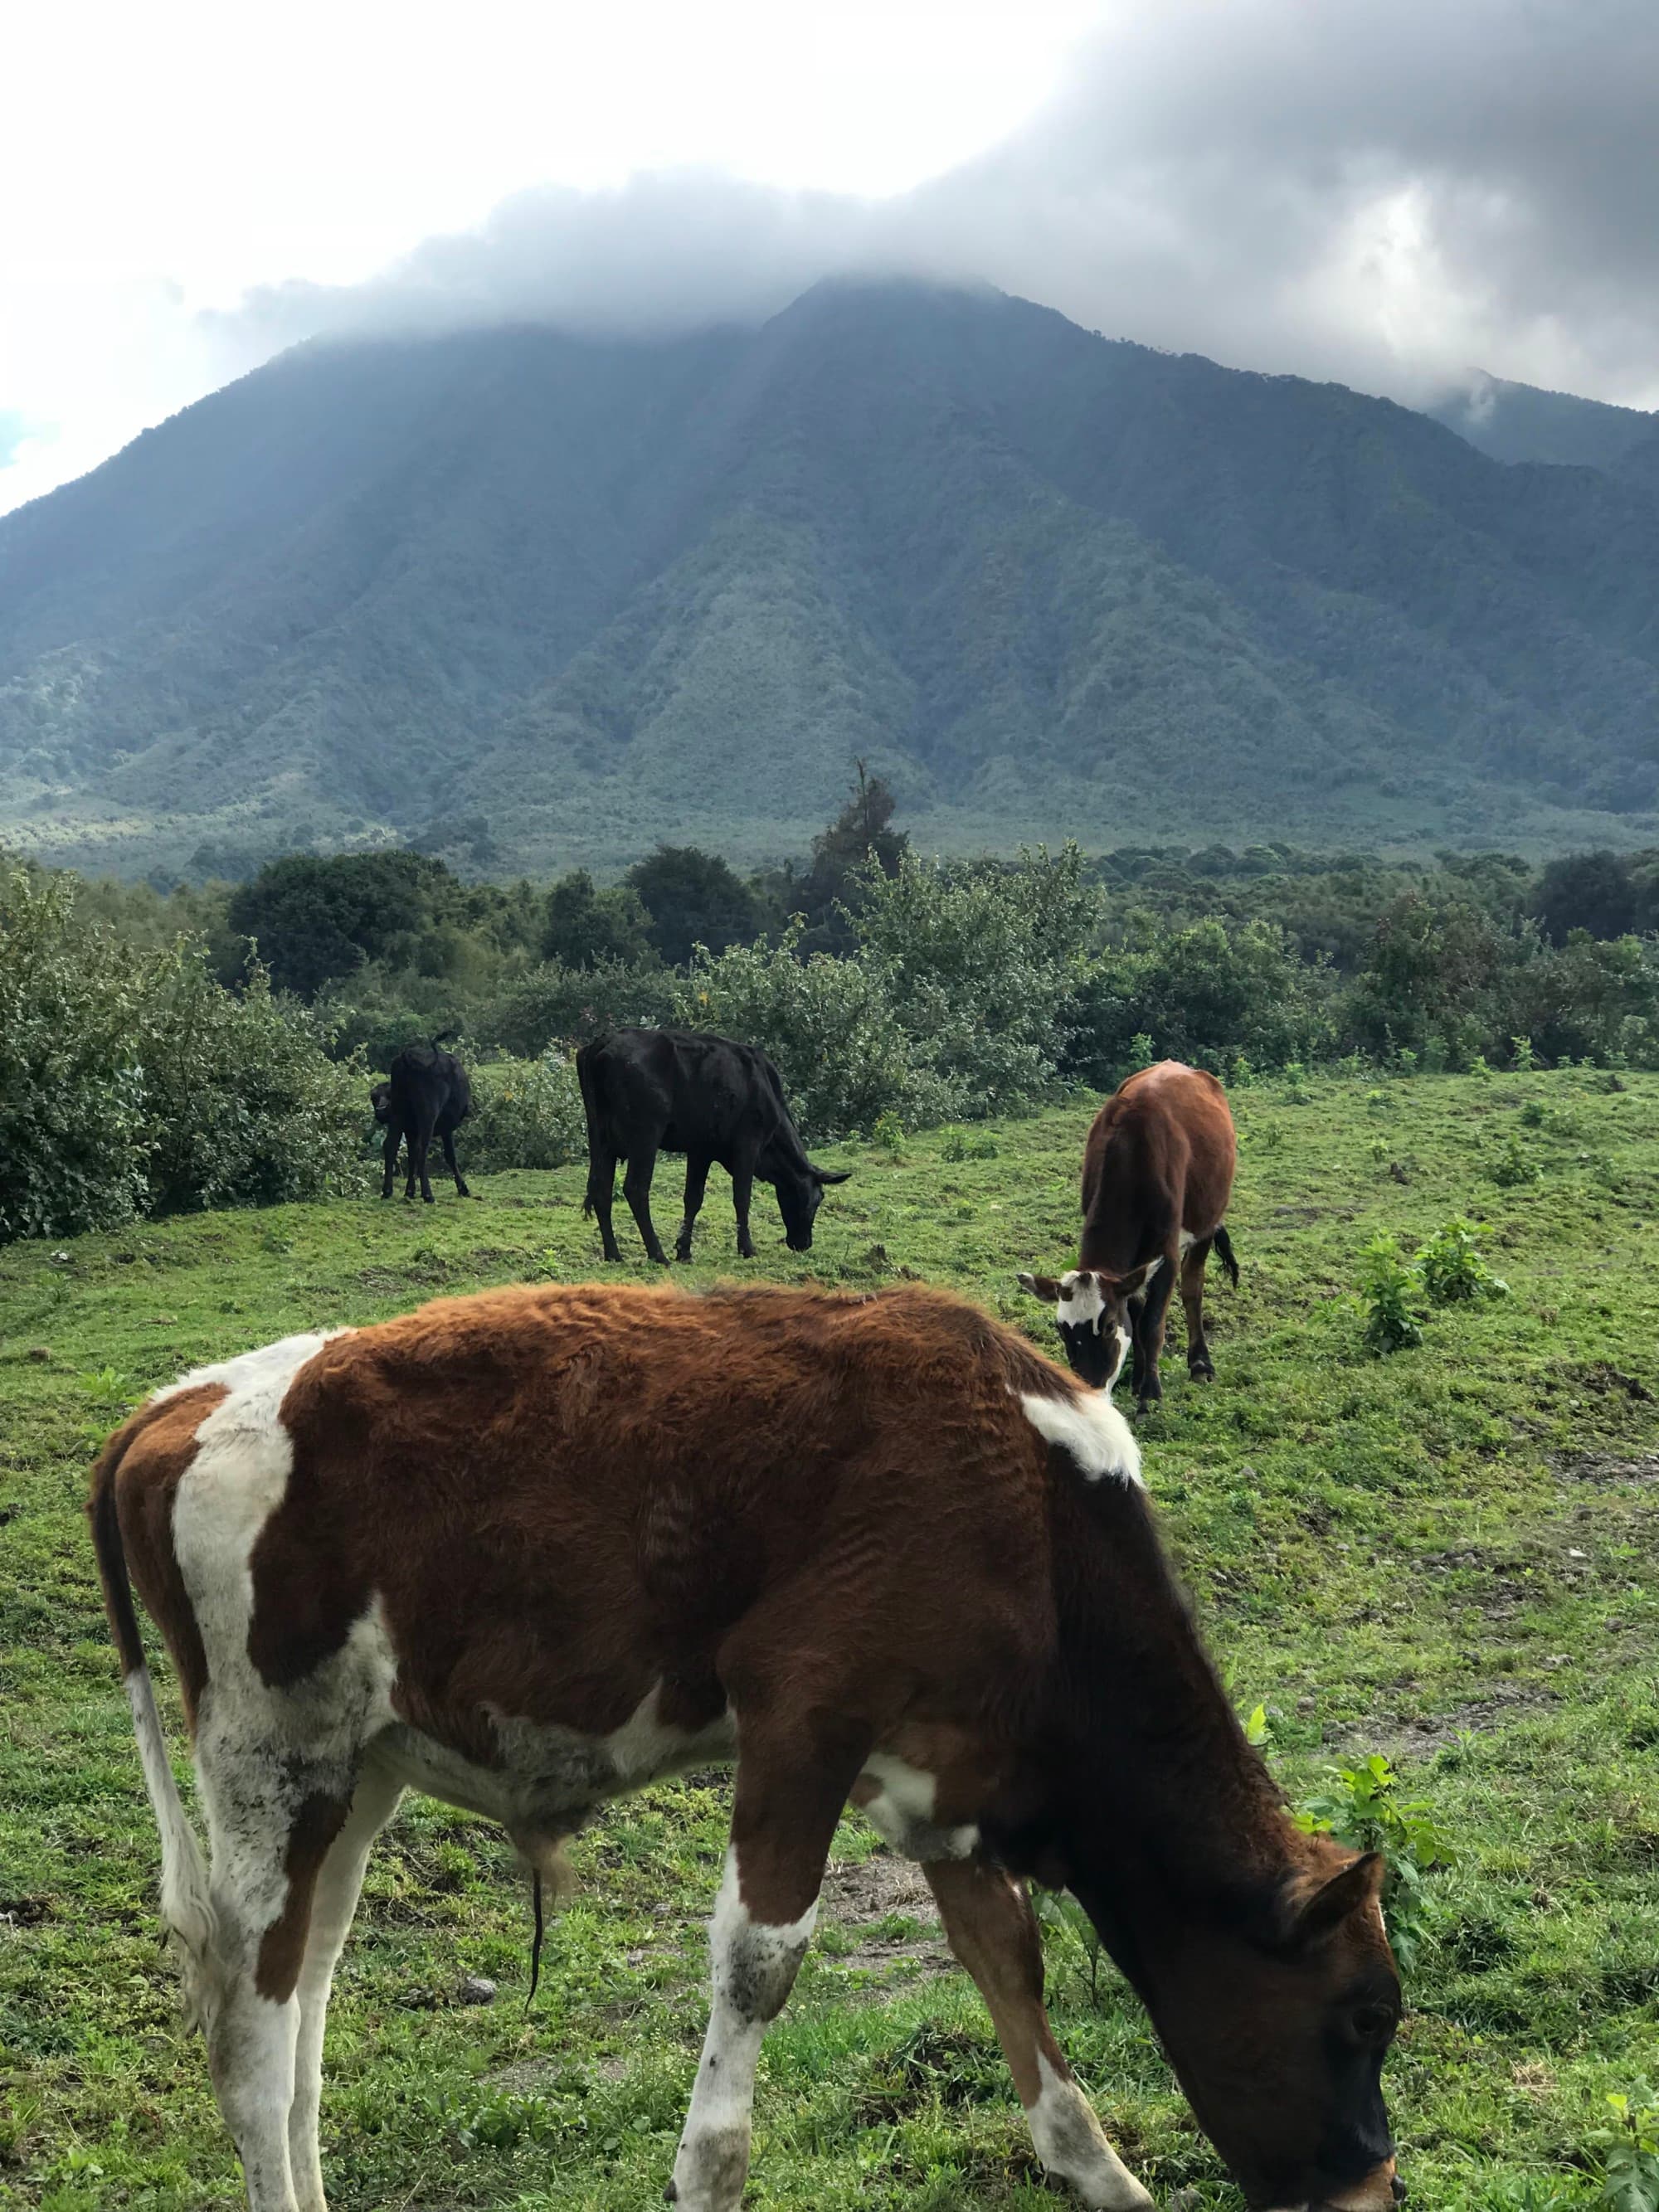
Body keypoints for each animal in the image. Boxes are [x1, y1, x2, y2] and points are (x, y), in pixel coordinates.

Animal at [89, 1280, 1402, 2212]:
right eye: (1364, 2017)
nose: (1375, 2184)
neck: (1029, 1510)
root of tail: (181, 1400)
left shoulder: (939, 1773)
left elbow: (1006, 1960)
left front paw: (1106, 2175)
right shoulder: (801, 1724)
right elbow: (759, 1969)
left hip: (352, 1776)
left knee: (304, 1993)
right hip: (271, 1763)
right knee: (250, 2028)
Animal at [372, 1039, 472, 1204]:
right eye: (375, 1098)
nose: (380, 1110)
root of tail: (410, 1057)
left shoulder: (411, 1130)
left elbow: (412, 1153)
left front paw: (410, 1191)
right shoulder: (446, 1129)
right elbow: (450, 1155)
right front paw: (462, 1187)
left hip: (399, 1115)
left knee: (390, 1145)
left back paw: (387, 1191)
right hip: (429, 1113)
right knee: (424, 1150)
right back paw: (428, 1195)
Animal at [576, 1026, 849, 1263]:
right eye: (817, 1200)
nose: (804, 1244)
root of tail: (604, 1041)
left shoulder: (701, 1149)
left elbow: (693, 1198)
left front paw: (684, 1251)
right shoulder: (748, 1143)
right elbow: (742, 1197)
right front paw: (747, 1249)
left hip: (600, 1139)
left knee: (601, 1189)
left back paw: (614, 1254)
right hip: (646, 1134)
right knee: (635, 1188)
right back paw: (658, 1255)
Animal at [1019, 1060, 1238, 1410]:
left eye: (1108, 1326)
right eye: (1061, 1329)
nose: (1090, 1392)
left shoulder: (1166, 1251)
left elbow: (1151, 1323)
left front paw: (1150, 1394)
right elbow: (1135, 1311)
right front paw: (1137, 1381)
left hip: (1208, 1218)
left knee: (1193, 1285)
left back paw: (1201, 1364)